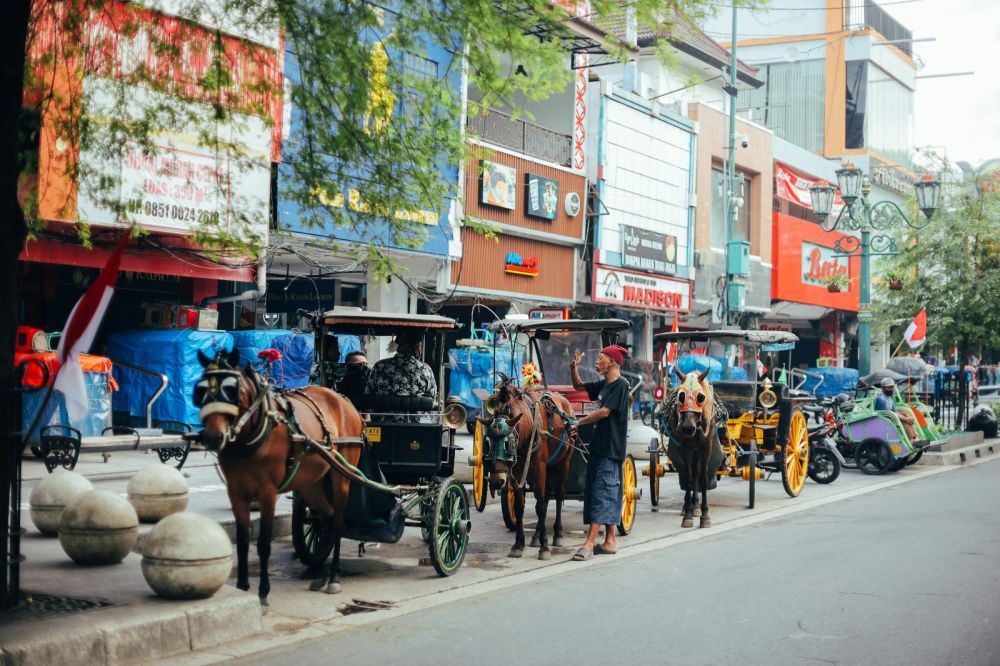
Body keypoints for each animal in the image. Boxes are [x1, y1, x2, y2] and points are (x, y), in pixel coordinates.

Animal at [194, 348, 364, 600]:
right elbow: (243, 541)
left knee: (338, 522)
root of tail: (344, 401)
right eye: (201, 391)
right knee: (326, 517)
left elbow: (263, 543)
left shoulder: (267, 493)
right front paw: (243, 587)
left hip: (342, 475)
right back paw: (318, 571)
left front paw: (263, 593)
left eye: (234, 391)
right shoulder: (236, 492)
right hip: (311, 482)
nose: (214, 437)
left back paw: (334, 576)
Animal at [480, 376, 576, 556]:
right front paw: (519, 544)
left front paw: (544, 547)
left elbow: (541, 507)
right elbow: (520, 507)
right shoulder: (518, 472)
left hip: (563, 463)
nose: (496, 481)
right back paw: (536, 536)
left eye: (508, 444)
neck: (529, 426)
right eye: (487, 443)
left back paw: (557, 534)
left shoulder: (540, 468)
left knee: (558, 495)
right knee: (545, 497)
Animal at [664, 366, 720, 528]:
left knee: (697, 473)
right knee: (689, 473)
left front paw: (705, 515)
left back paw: (695, 505)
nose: (688, 428)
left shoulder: (706, 447)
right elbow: (688, 478)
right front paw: (688, 515)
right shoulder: (685, 447)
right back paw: (689, 506)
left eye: (700, 397)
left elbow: (703, 478)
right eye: (681, 397)